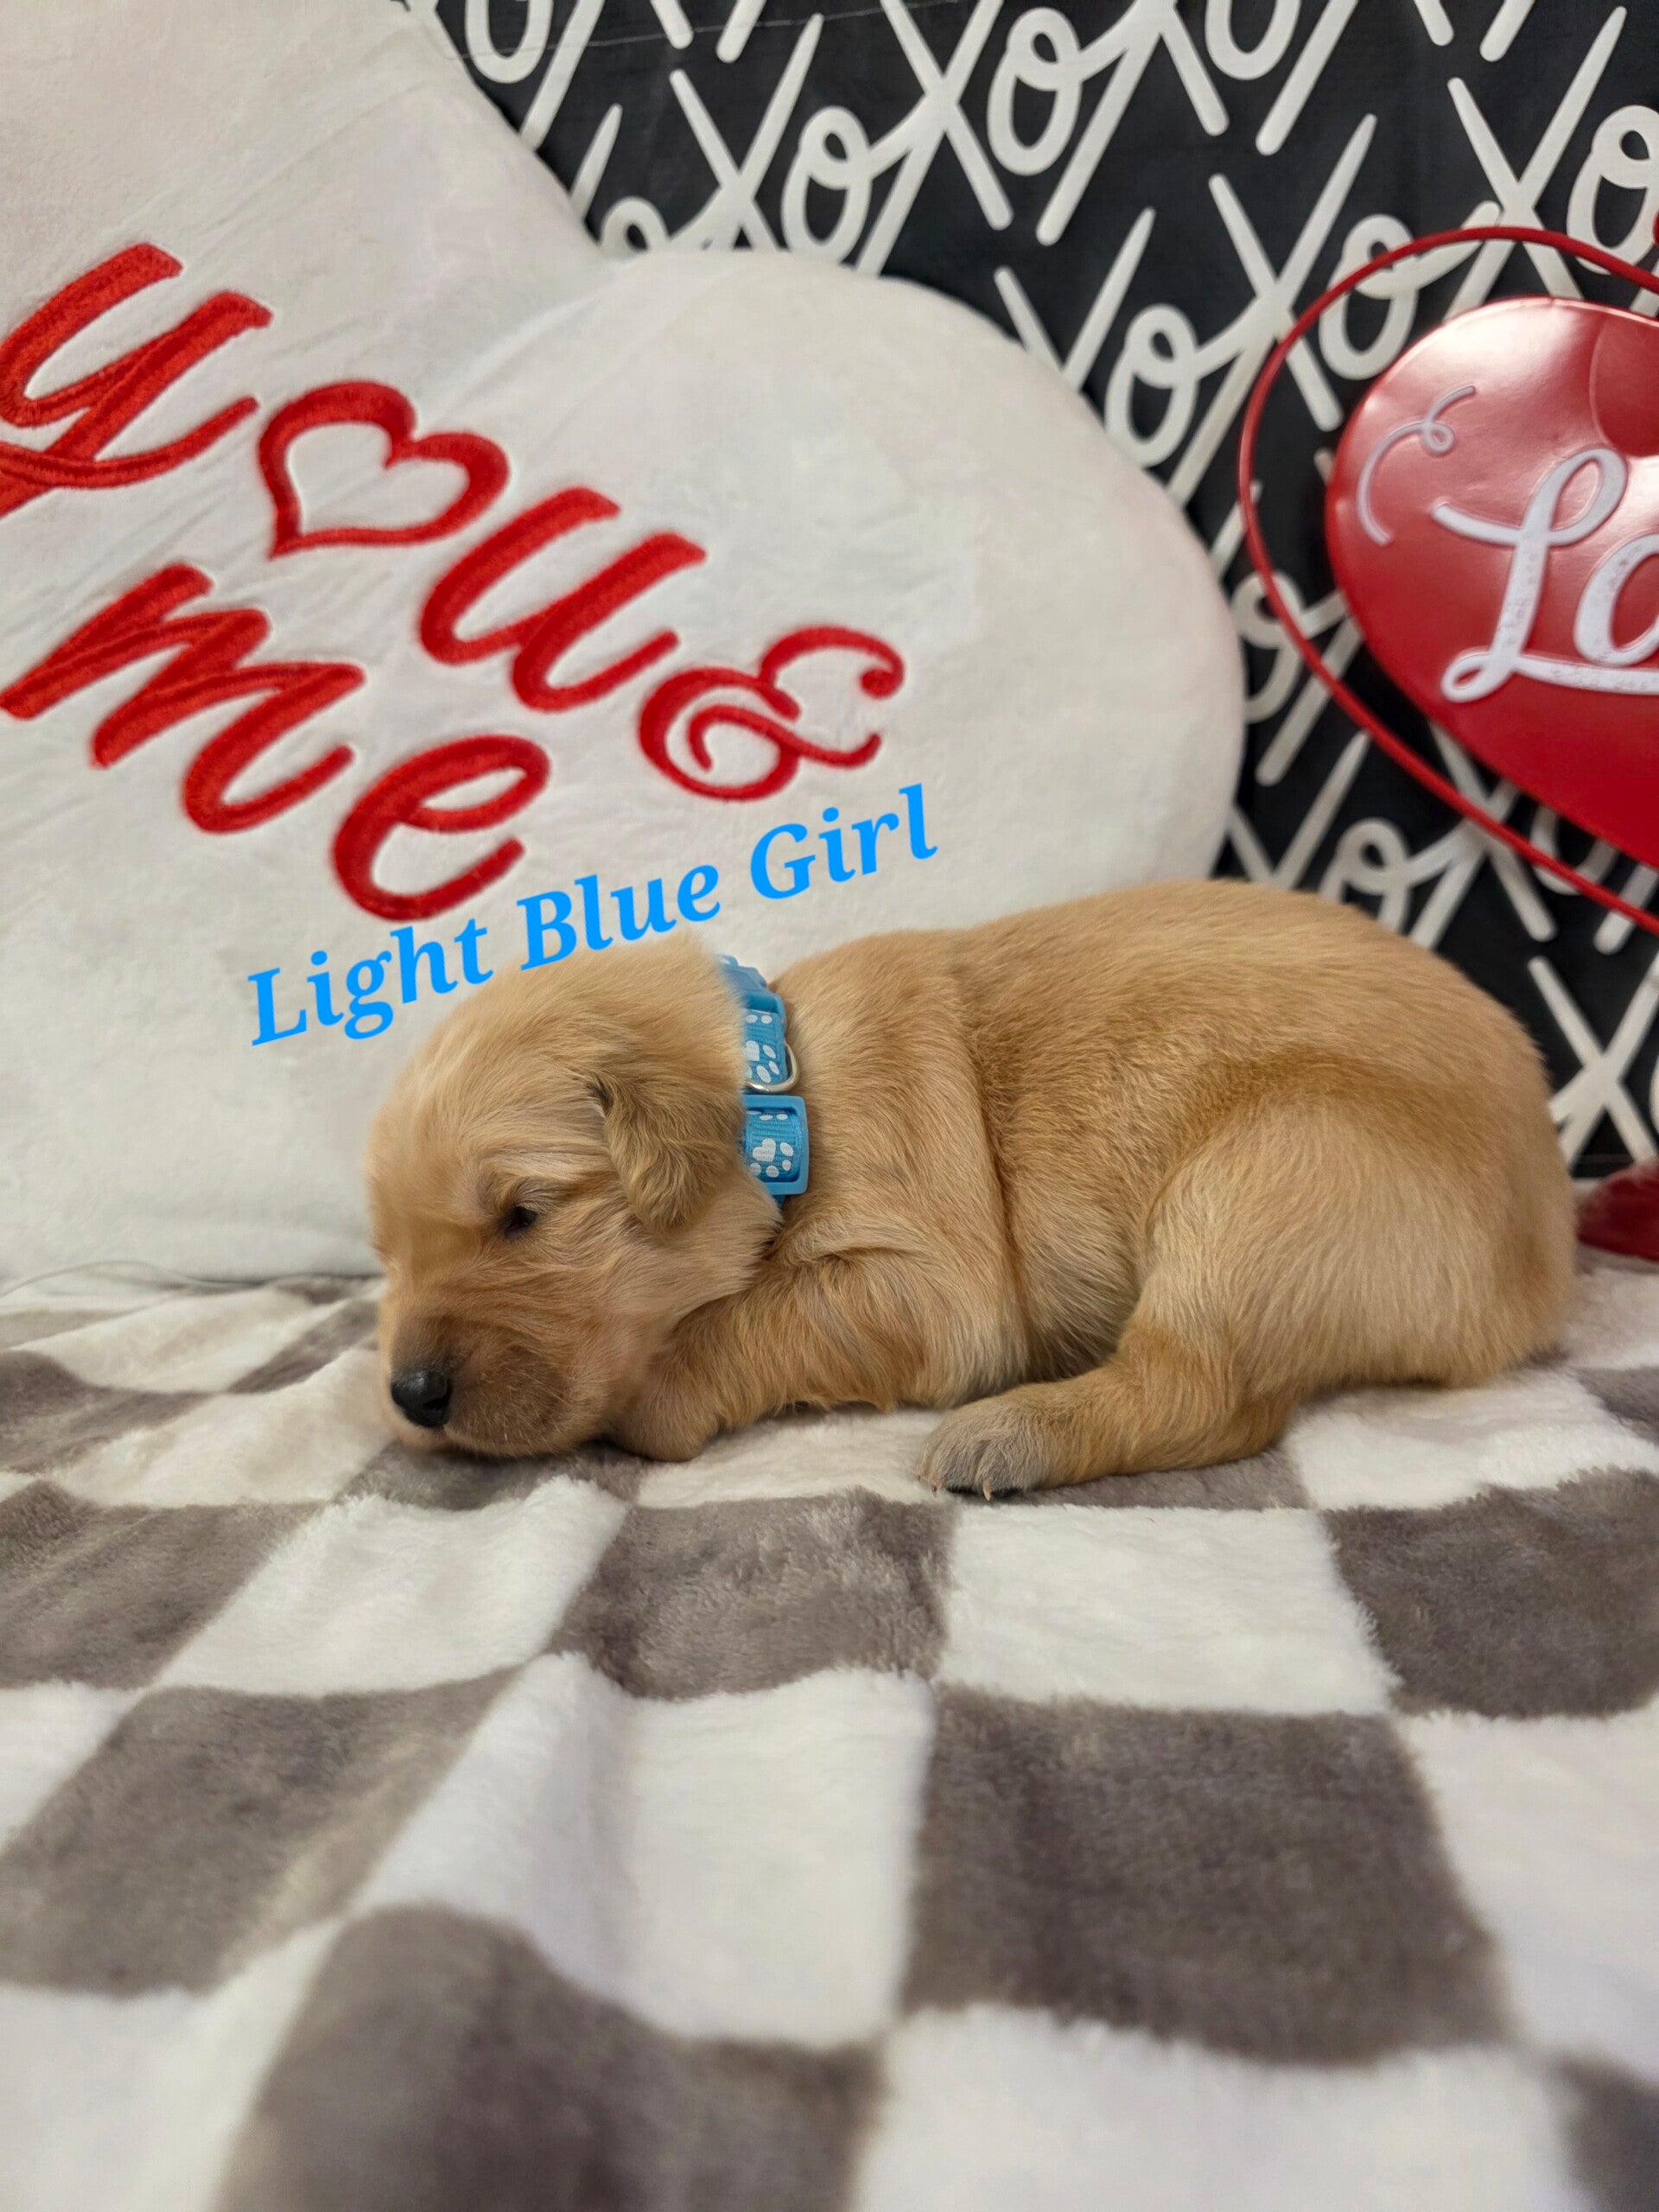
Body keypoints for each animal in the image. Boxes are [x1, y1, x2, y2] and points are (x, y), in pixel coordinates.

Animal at [366, 880, 1576, 1495]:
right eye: (388, 1255)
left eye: (523, 1215)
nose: (411, 1395)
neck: (788, 1093)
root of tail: (1550, 1244)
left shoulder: (928, 1285)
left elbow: (747, 1321)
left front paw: (647, 1395)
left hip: (1273, 1176)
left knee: (1207, 1394)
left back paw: (1007, 1435)